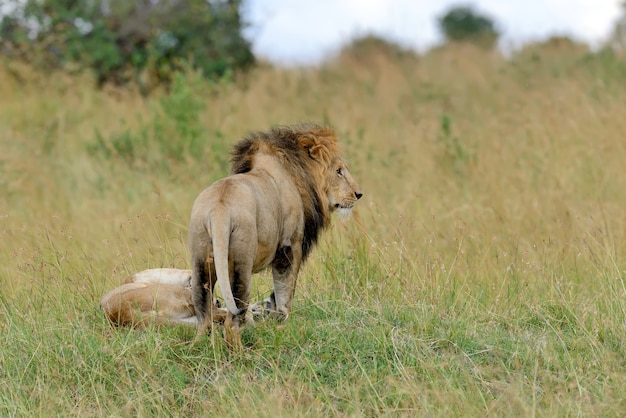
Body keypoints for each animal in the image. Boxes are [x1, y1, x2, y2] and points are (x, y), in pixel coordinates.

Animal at [186, 121, 360, 342]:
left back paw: (199, 344)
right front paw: (283, 324)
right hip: (241, 264)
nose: (358, 194)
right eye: (339, 171)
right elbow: (285, 291)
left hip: (201, 259)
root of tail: (219, 210)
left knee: (203, 316)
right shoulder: (290, 247)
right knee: (232, 320)